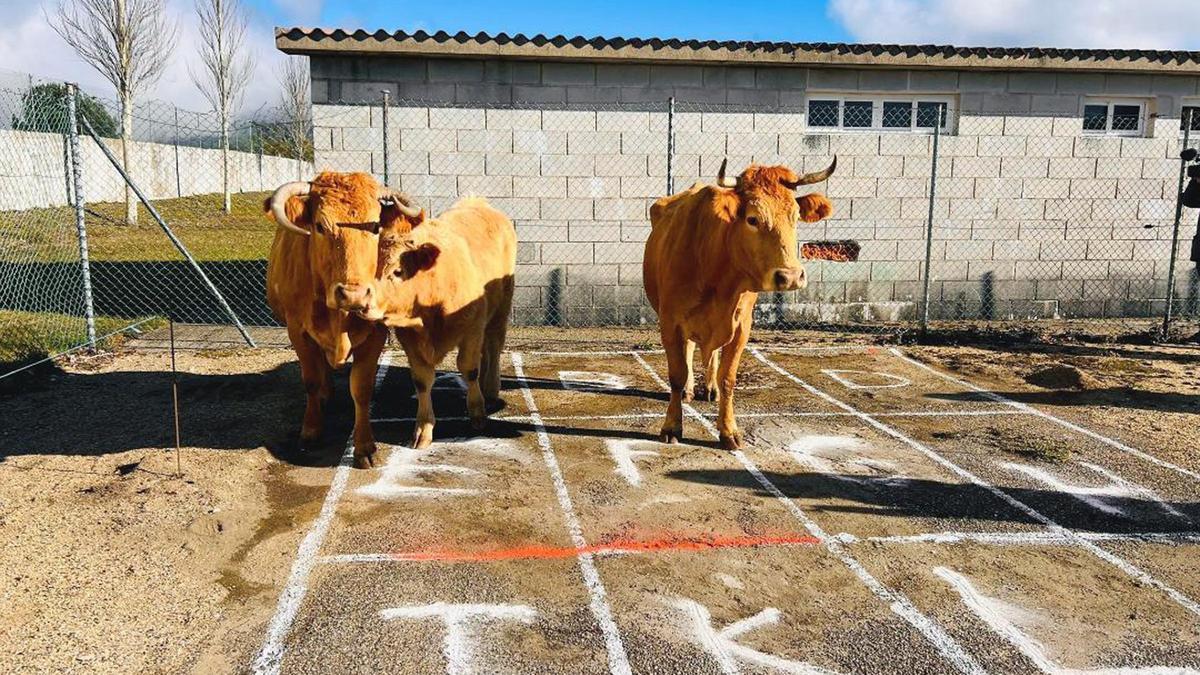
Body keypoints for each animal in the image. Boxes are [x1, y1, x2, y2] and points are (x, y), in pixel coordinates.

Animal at [265, 171, 421, 469]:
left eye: (375, 226)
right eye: (319, 226)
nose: (353, 294)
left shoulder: (375, 333)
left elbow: (361, 388)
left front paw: (364, 447)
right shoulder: (297, 332)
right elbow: (311, 380)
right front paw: (311, 430)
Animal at [358, 196, 517, 449]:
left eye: (398, 271)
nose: (363, 301)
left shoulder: (472, 327)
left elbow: (469, 369)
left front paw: (477, 413)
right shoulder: (410, 339)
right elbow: (422, 381)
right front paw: (423, 429)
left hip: (501, 308)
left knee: (494, 345)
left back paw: (490, 388)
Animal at [643, 158, 837, 450]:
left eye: (795, 216)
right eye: (752, 219)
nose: (791, 276)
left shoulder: (741, 326)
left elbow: (728, 378)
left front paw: (728, 430)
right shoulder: (670, 323)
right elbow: (676, 375)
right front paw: (672, 426)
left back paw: (709, 388)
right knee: (689, 352)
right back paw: (690, 389)